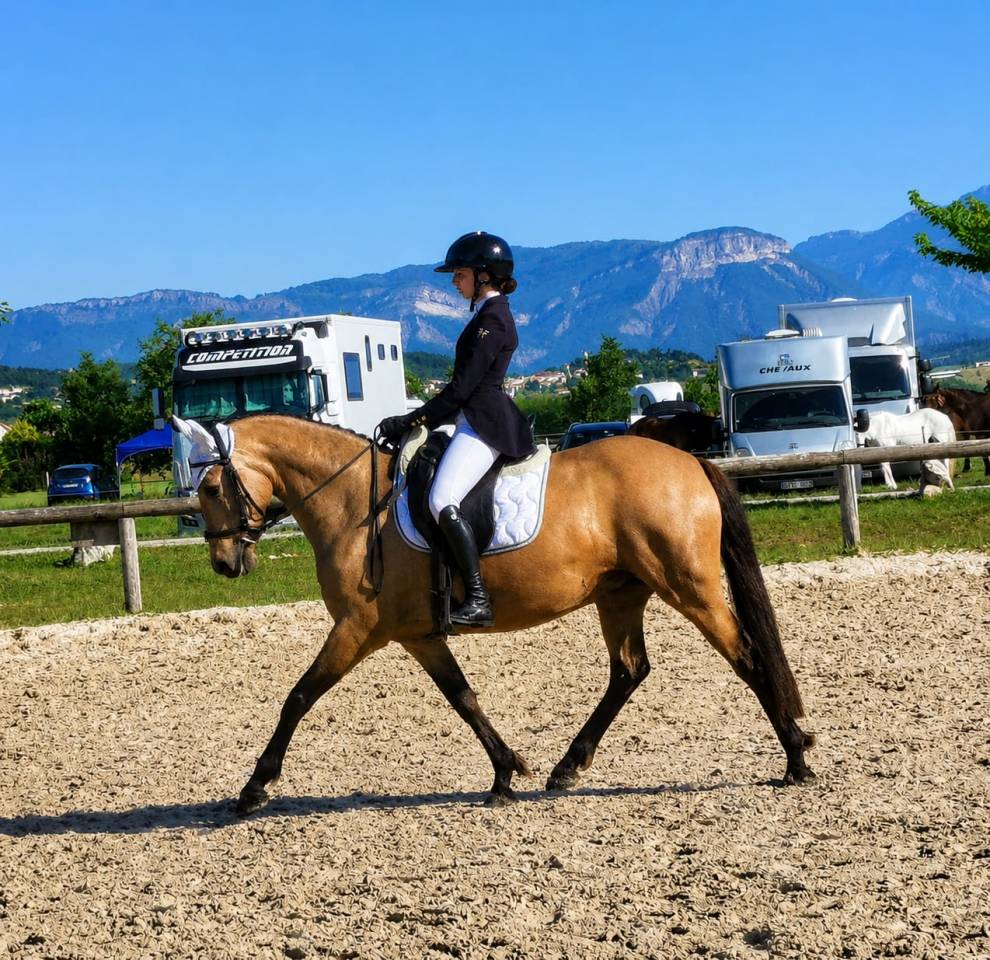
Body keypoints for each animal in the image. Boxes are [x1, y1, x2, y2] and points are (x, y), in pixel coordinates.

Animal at [174, 414, 815, 816]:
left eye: (209, 487)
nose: (225, 564)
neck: (354, 502)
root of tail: (690, 462)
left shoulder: (356, 628)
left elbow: (299, 697)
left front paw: (254, 787)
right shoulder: (417, 635)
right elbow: (464, 698)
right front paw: (506, 773)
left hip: (690, 587)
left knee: (747, 658)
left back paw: (796, 759)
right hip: (621, 593)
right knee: (629, 670)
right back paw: (567, 767)